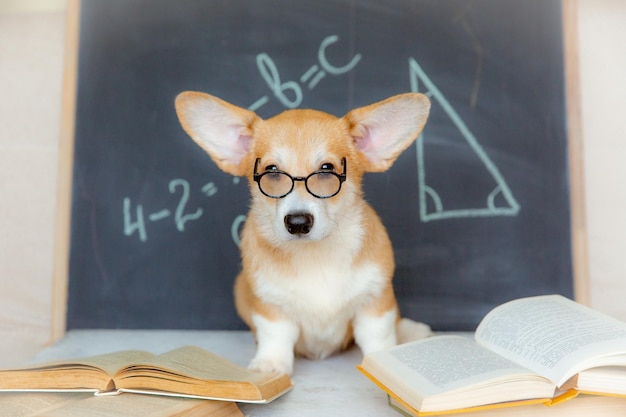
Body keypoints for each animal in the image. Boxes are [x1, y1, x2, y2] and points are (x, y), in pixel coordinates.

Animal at [174, 92, 428, 374]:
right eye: (272, 171)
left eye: (327, 169)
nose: (297, 222)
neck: (314, 255)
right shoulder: (270, 306)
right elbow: (276, 336)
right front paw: (270, 365)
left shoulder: (374, 300)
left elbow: (378, 336)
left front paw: (383, 362)